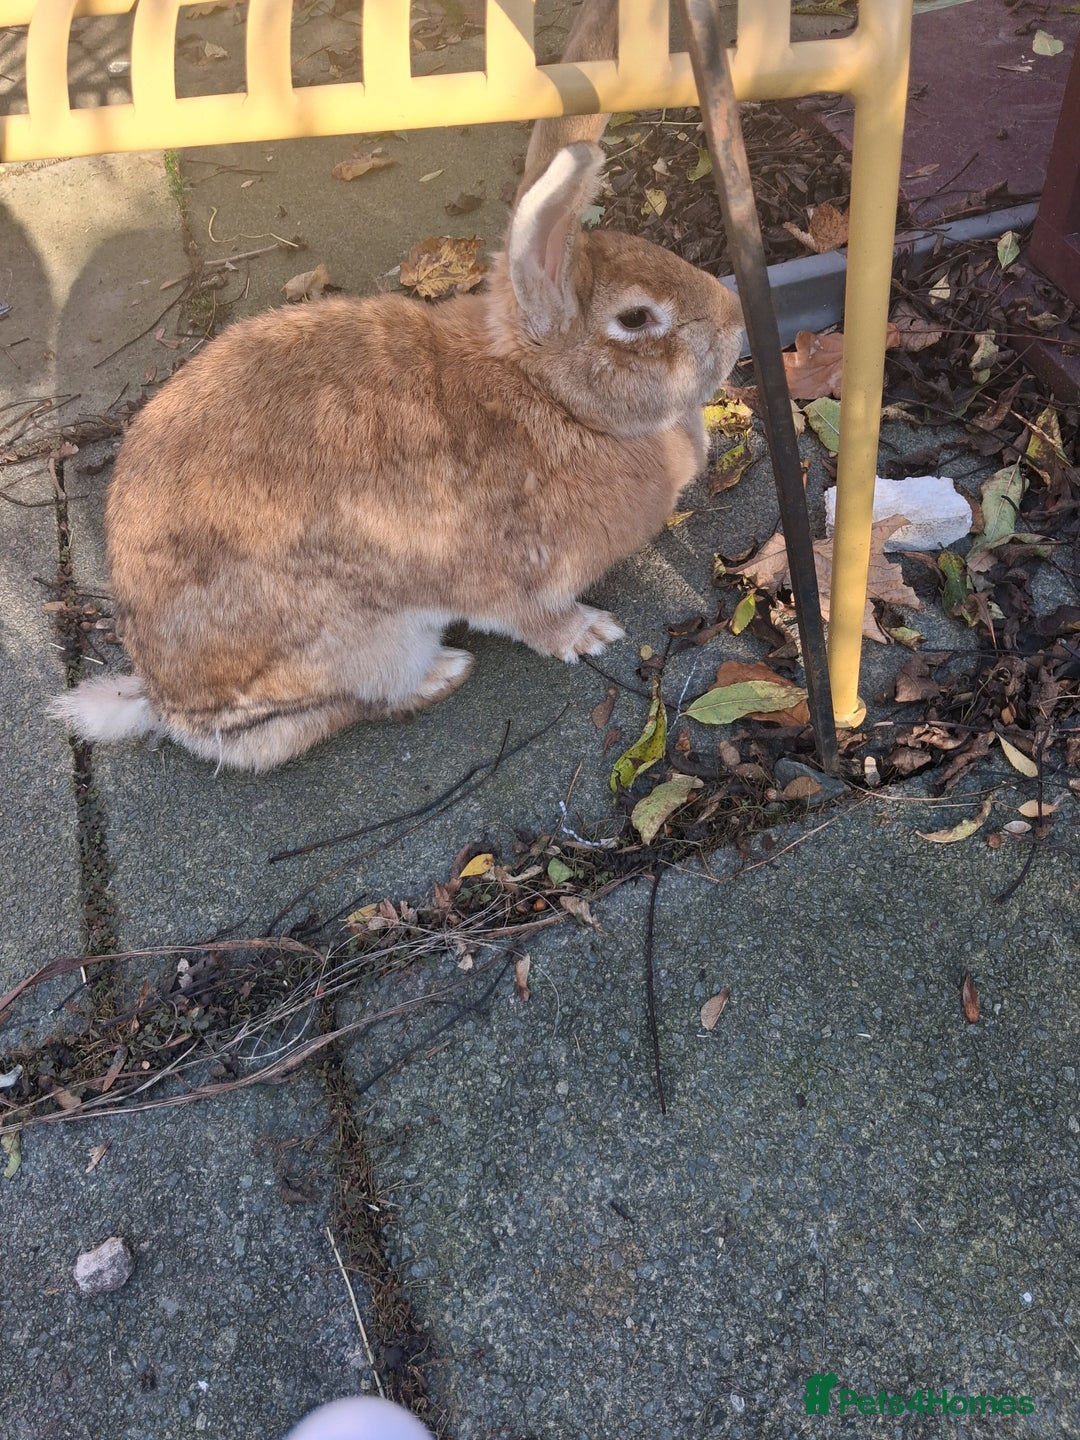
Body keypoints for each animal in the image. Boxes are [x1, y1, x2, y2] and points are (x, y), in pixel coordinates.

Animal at [50, 7, 743, 772]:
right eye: (636, 319)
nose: (738, 320)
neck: (551, 398)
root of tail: (165, 704)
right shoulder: (510, 579)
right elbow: (534, 620)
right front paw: (592, 634)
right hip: (362, 645)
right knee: (332, 712)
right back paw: (443, 672)